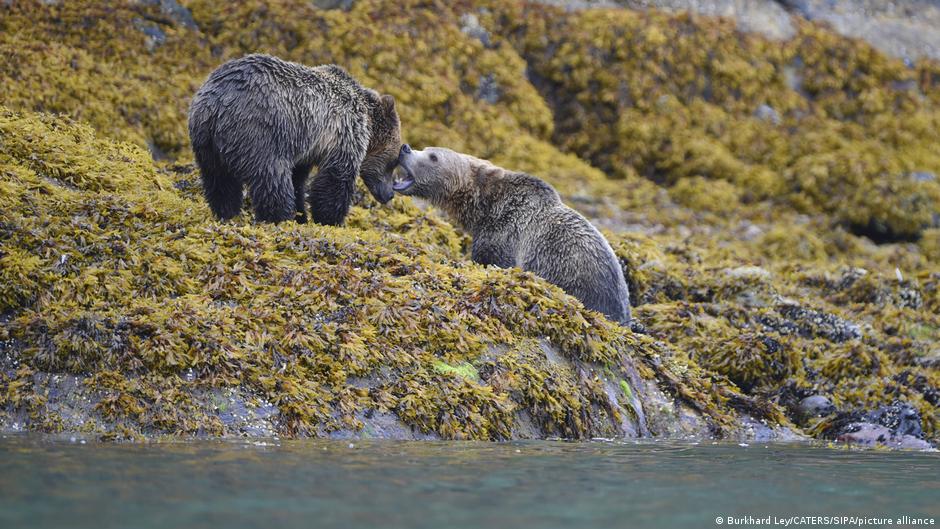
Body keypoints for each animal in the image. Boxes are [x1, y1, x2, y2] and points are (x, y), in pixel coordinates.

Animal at [188, 54, 402, 225]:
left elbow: (298, 179)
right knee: (271, 178)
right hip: (259, 133)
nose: (390, 194)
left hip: (206, 143)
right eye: (393, 162)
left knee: (219, 181)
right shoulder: (344, 133)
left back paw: (227, 213)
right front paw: (331, 220)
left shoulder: (305, 147)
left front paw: (302, 215)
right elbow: (336, 177)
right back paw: (278, 217)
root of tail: (215, 104)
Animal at [394, 145, 632, 324]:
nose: (405, 148)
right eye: (426, 148)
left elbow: (492, 260)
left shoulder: (504, 232)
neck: (483, 208)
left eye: (433, 156)